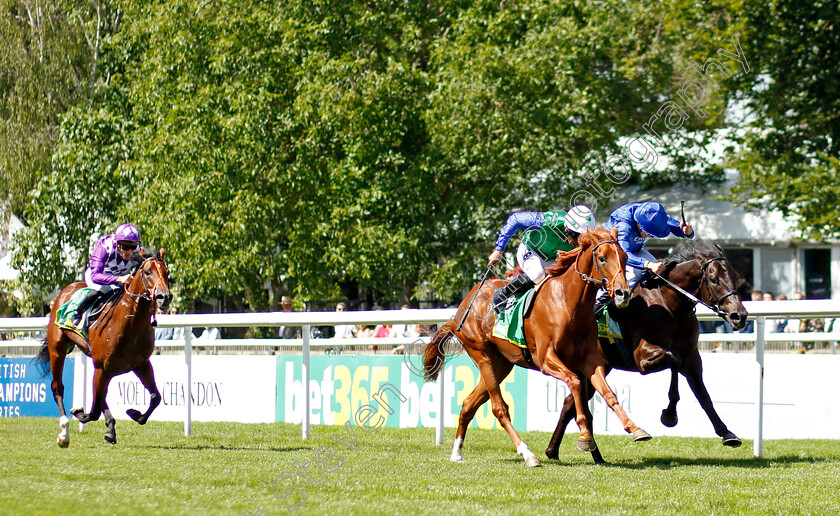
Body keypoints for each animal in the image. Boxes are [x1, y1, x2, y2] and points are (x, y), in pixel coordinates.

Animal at [37, 248, 172, 446]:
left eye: (167, 273)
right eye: (147, 272)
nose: (165, 297)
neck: (130, 322)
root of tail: (65, 291)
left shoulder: (140, 364)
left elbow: (156, 397)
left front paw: (134, 413)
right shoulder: (101, 367)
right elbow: (93, 410)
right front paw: (80, 414)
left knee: (102, 397)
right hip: (58, 349)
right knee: (57, 387)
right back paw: (64, 433)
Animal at [426, 229, 648, 468]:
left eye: (624, 258)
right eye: (602, 258)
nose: (623, 293)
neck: (568, 302)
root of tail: (464, 304)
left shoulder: (590, 360)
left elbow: (608, 393)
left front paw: (635, 428)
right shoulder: (545, 359)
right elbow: (574, 382)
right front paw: (585, 437)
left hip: (500, 364)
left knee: (468, 403)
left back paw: (457, 453)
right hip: (481, 354)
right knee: (499, 408)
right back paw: (528, 454)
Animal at [544, 241, 748, 464]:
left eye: (735, 276)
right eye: (713, 279)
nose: (739, 316)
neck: (670, 305)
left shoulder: (692, 357)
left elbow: (703, 394)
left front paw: (727, 433)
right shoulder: (643, 358)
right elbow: (673, 360)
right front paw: (669, 414)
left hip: (596, 367)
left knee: (569, 403)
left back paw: (561, 451)